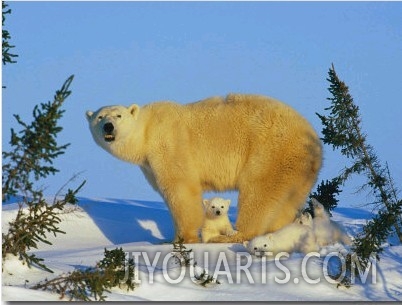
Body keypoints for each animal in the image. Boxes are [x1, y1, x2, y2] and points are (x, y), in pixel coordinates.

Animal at [86, 93, 322, 242]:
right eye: (100, 117)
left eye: (118, 115)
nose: (108, 127)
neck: (147, 131)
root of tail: (314, 140)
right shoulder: (149, 165)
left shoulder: (170, 145)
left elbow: (181, 189)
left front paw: (183, 239)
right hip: (298, 168)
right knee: (288, 200)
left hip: (270, 151)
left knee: (258, 194)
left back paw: (235, 235)